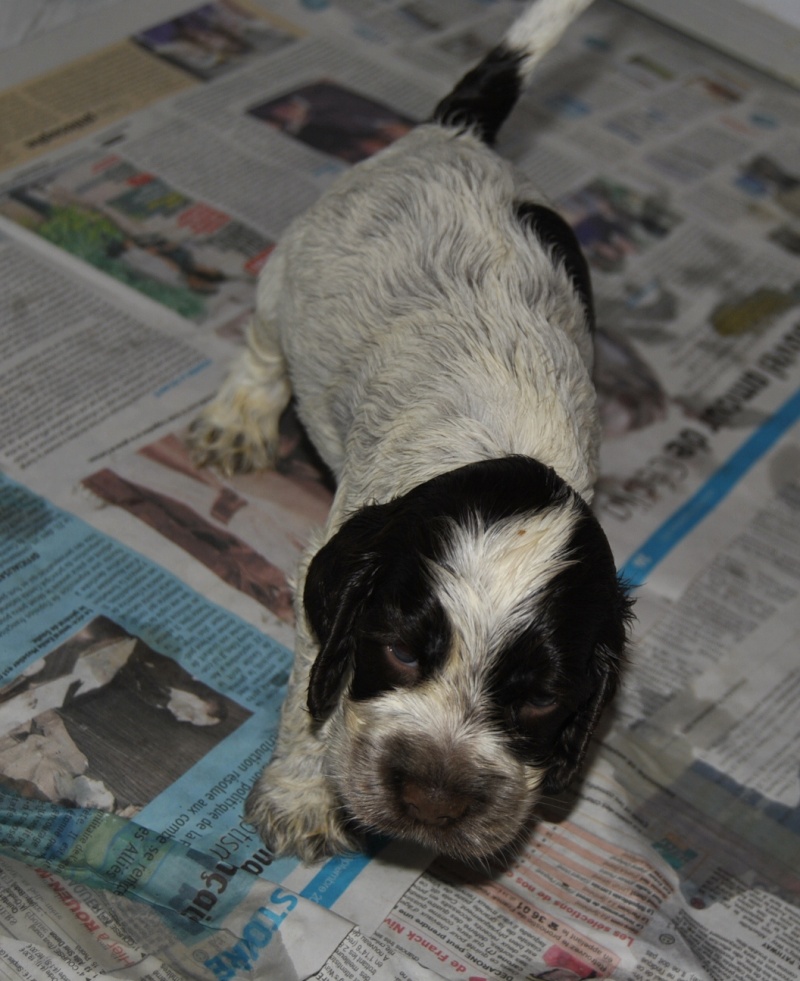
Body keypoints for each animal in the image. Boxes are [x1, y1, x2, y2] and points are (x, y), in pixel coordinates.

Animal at [189, 0, 632, 860]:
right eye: (397, 650)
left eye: (541, 700)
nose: (431, 798)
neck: (510, 441)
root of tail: (454, 133)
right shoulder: (329, 571)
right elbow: (313, 694)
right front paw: (302, 795)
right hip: (290, 276)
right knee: (263, 349)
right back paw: (238, 419)